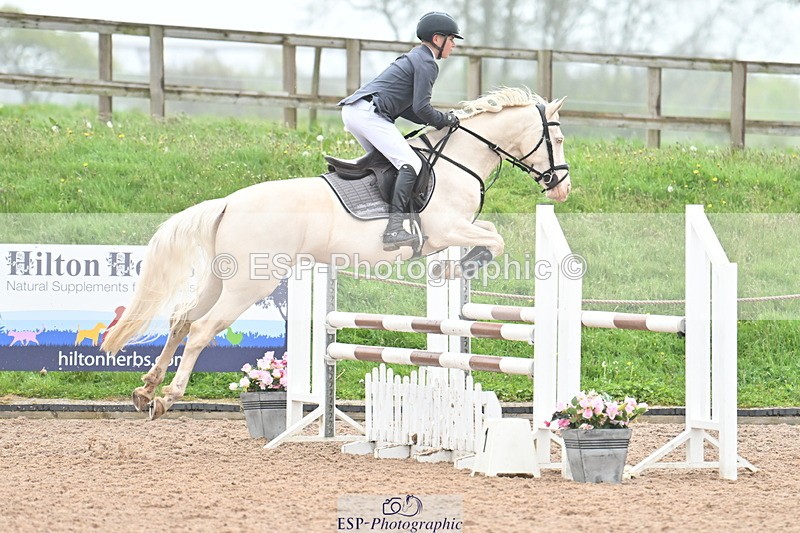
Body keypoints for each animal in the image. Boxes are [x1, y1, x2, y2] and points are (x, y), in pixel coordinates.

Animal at [101, 87, 571, 419]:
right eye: (558, 138)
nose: (561, 188)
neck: (459, 162)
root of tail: (228, 202)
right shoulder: (446, 229)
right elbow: (495, 239)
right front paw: (460, 267)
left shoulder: (452, 231)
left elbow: (490, 234)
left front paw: (457, 269)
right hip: (252, 284)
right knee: (200, 330)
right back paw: (168, 396)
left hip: (222, 278)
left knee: (181, 320)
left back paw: (145, 390)